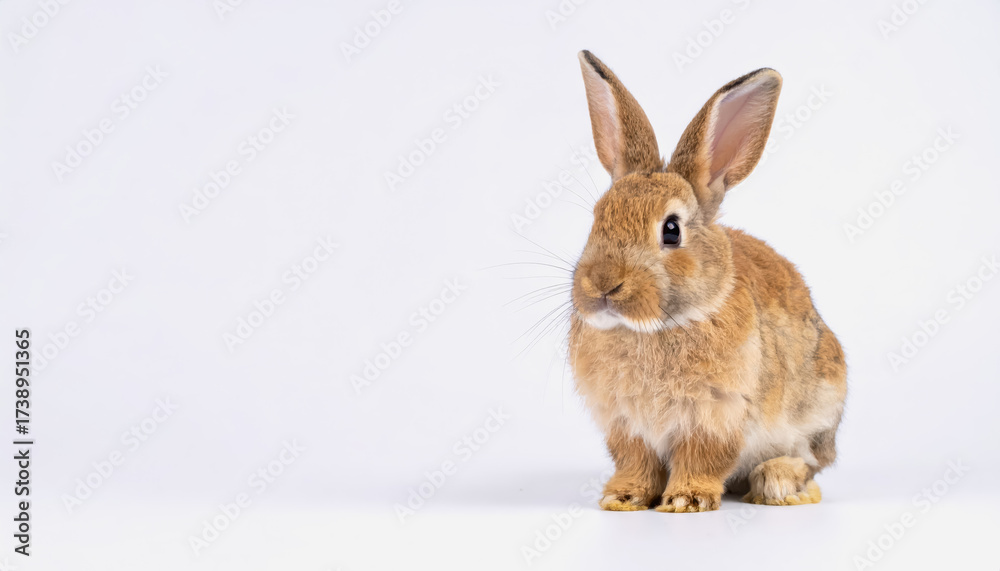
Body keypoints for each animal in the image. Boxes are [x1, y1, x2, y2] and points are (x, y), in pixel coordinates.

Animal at [567, 50, 847, 512]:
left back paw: (776, 483)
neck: (656, 327)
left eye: (672, 230)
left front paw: (686, 499)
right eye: (596, 219)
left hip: (818, 410)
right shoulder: (625, 425)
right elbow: (636, 462)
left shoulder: (718, 416)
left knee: (812, 462)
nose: (603, 285)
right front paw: (623, 497)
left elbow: (703, 458)